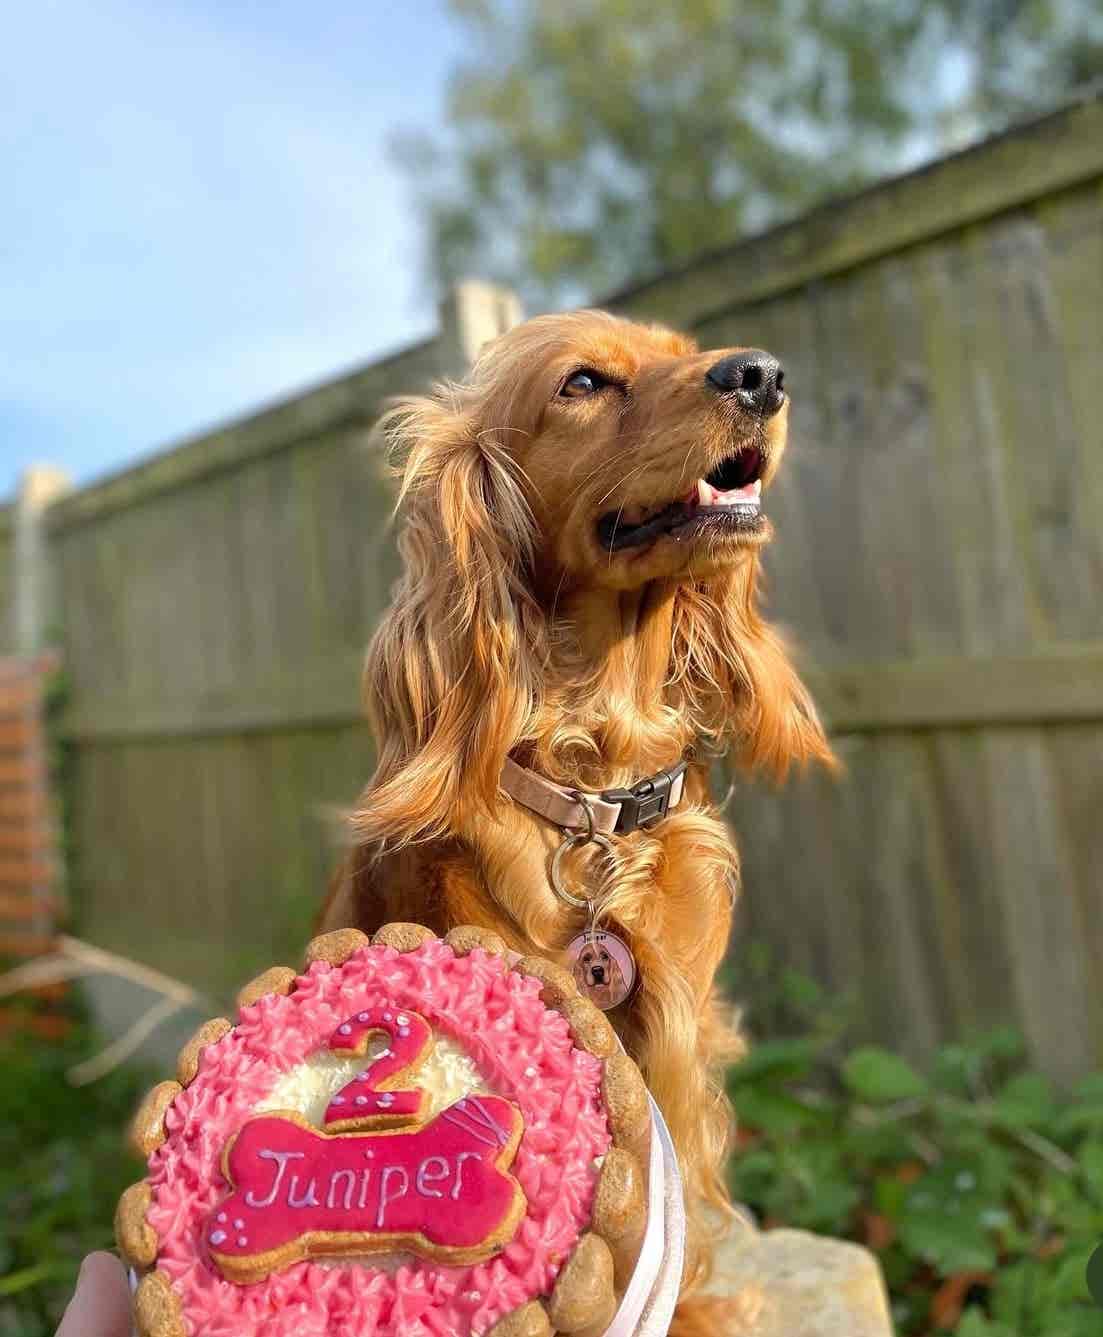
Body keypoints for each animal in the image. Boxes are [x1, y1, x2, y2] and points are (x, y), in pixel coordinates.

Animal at [321, 309, 834, 1333]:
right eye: (583, 383)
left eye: (682, 348)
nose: (761, 374)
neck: (597, 780)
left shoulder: (676, 1038)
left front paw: (693, 1302)